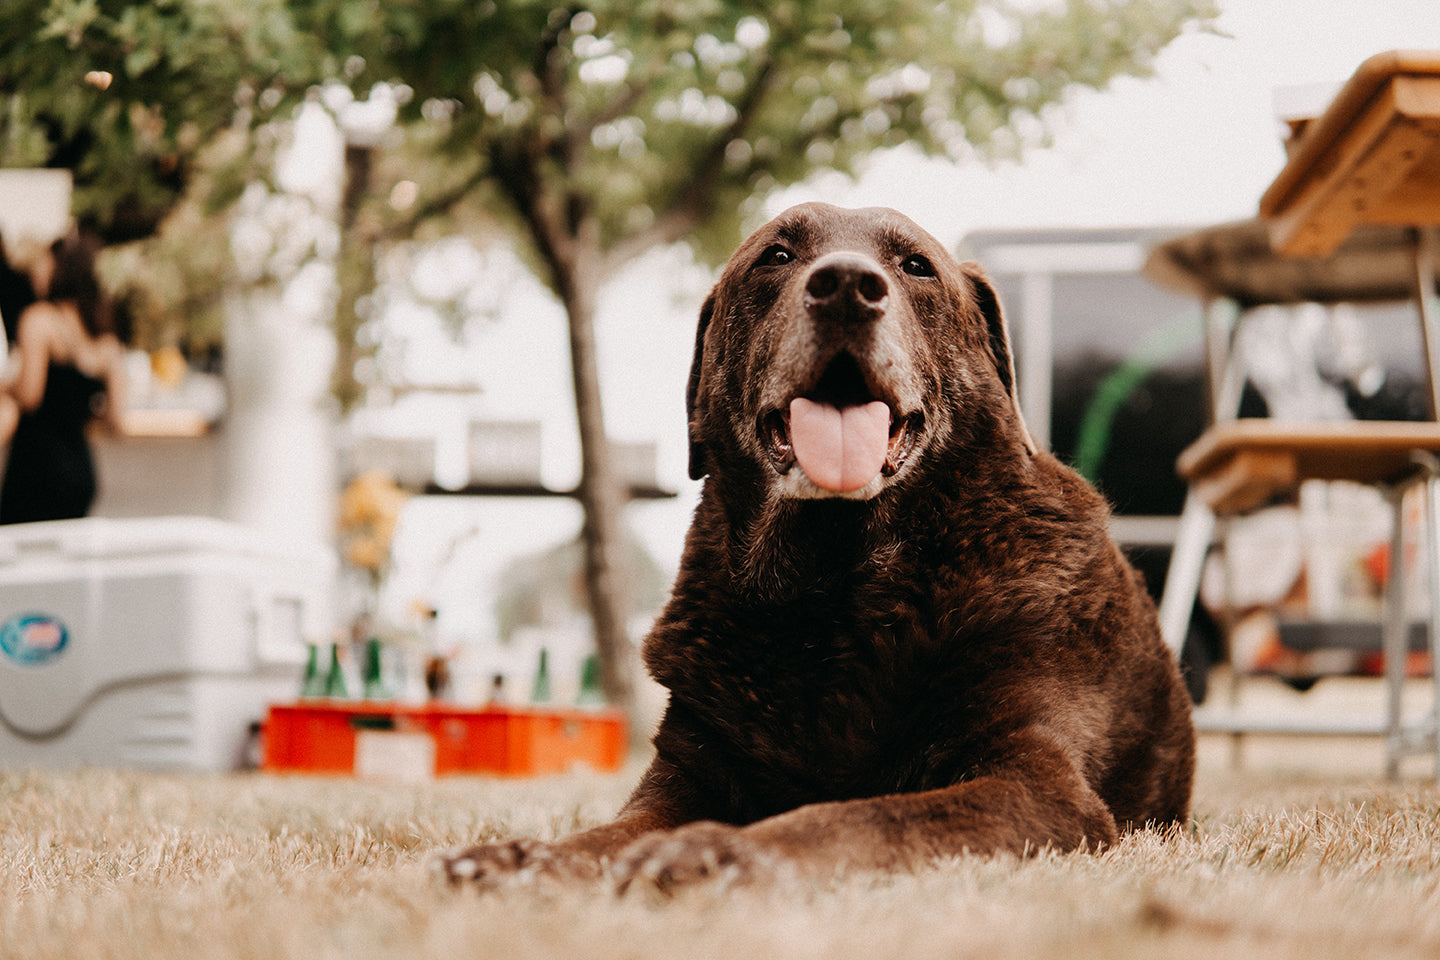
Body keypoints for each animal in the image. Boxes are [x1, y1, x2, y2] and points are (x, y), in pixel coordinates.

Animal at [443, 201, 1198, 892]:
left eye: (915, 265)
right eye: (776, 256)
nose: (846, 286)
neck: (832, 589)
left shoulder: (1036, 781)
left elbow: (861, 815)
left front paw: (717, 851)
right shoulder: (685, 772)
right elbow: (606, 834)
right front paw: (523, 859)